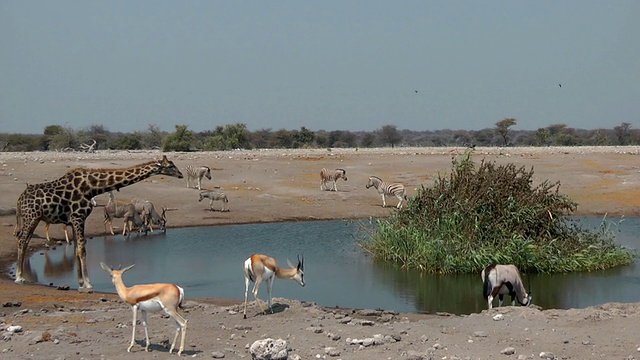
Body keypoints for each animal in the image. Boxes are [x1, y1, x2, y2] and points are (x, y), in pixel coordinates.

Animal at [15, 156, 184, 292]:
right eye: (170, 166)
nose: (181, 174)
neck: (92, 187)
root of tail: (19, 200)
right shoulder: (78, 217)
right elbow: (82, 250)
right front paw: (88, 283)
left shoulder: (76, 220)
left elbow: (76, 250)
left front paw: (80, 282)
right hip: (31, 218)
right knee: (22, 241)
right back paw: (19, 276)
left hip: (32, 218)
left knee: (22, 240)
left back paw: (21, 275)